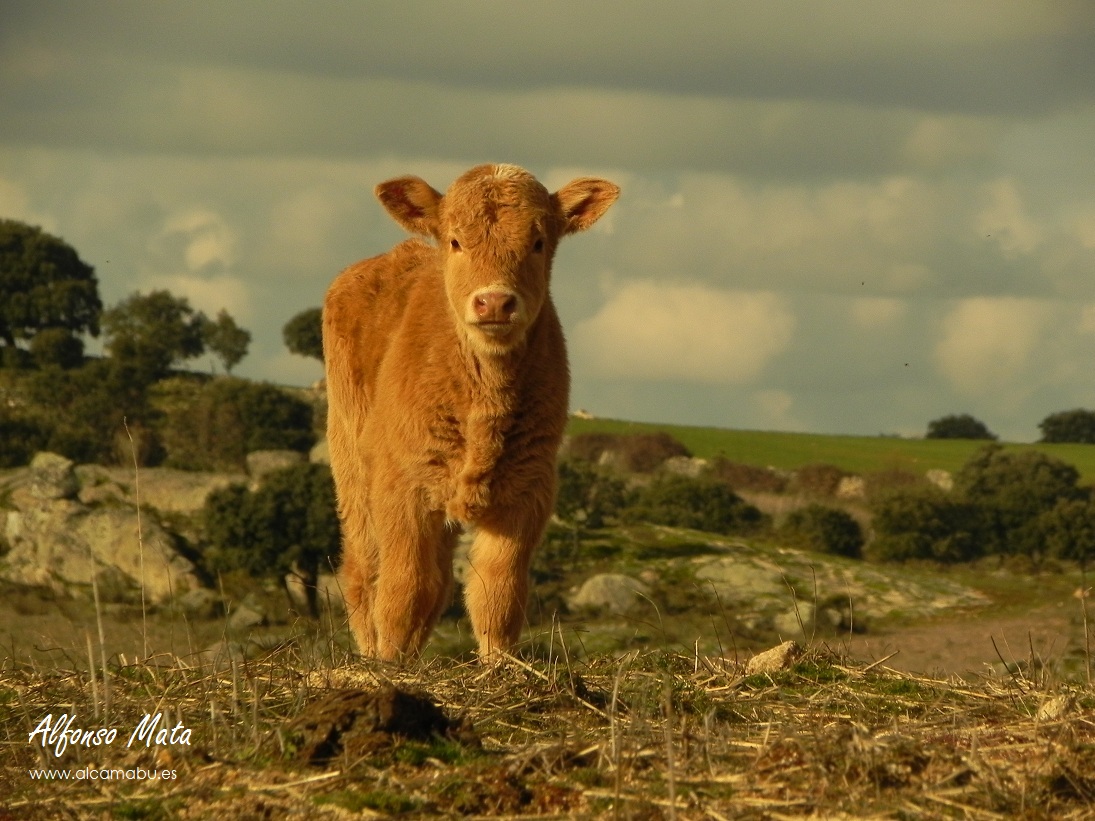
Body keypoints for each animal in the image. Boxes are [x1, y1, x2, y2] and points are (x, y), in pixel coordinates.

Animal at [319, 164, 621, 661]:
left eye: (538, 242)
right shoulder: (403, 487)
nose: (494, 301)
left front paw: (498, 665)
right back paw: (370, 653)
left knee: (439, 581)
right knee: (364, 571)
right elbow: (403, 588)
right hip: (352, 466)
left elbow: (496, 594)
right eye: (456, 241)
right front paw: (390, 665)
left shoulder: (526, 492)